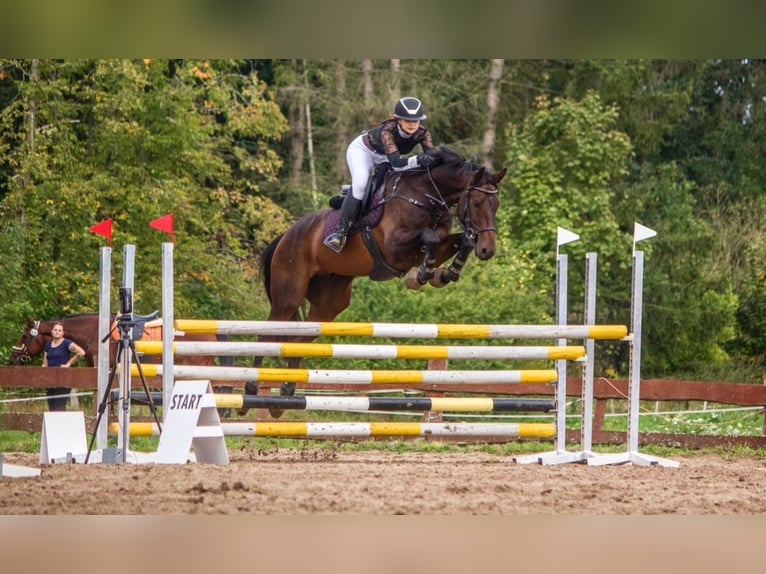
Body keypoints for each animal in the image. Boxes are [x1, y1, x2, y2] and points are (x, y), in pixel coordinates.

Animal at [240, 146, 507, 414]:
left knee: (300, 339)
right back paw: (250, 392)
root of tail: (285, 235)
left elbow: (463, 241)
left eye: (496, 205)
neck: (427, 196)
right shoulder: (394, 249)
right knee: (266, 335)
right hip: (288, 297)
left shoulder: (436, 245)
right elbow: (429, 236)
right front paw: (422, 275)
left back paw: (285, 394)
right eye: (476, 203)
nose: (488, 250)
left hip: (329, 303)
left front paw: (444, 274)